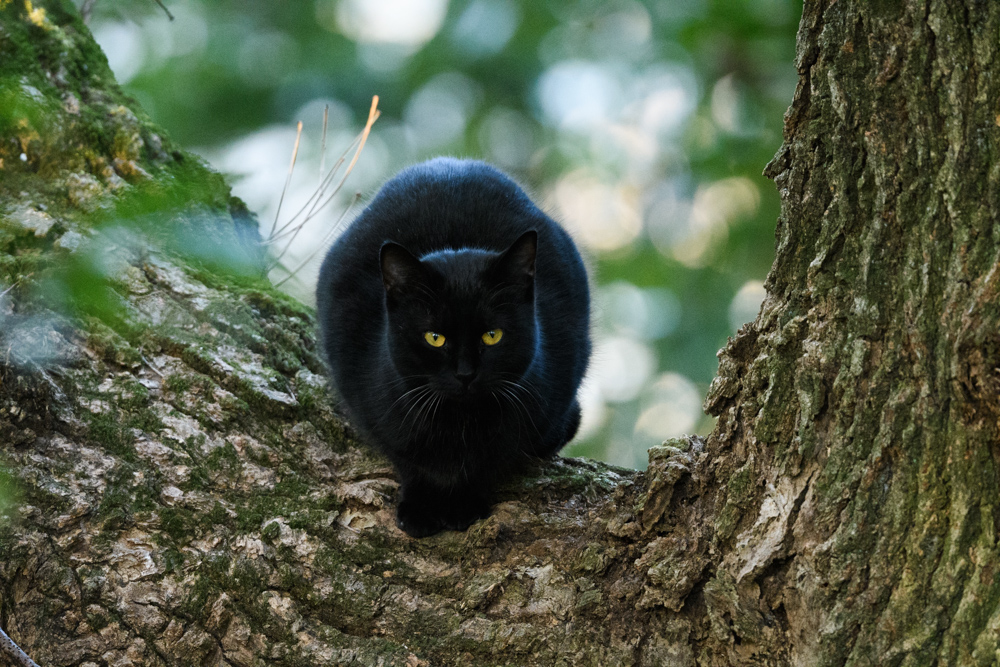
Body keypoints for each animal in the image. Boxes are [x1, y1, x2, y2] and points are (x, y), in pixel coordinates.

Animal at [316, 159, 588, 540]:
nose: (465, 374)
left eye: (492, 335)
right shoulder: (368, 401)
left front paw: (464, 505)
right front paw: (419, 507)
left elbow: (492, 461)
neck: (458, 426)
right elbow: (408, 459)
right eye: (435, 337)